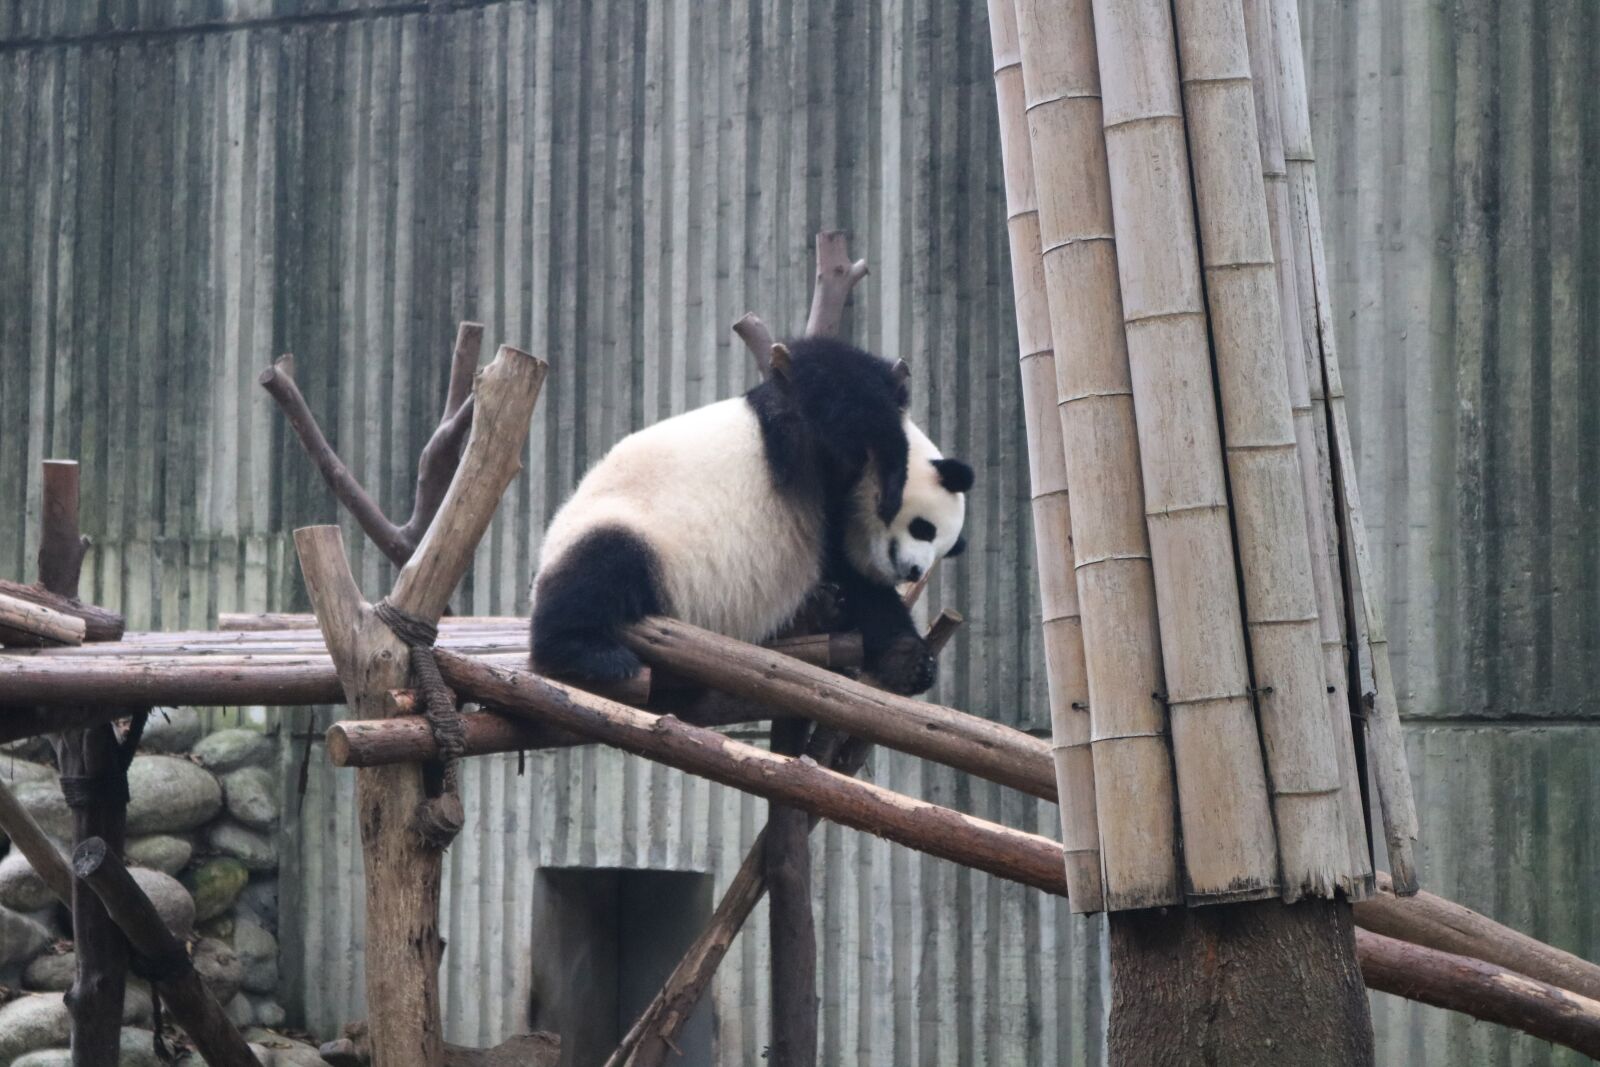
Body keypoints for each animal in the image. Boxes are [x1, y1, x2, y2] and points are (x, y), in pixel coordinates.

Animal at [529, 337, 972, 696]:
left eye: (941, 549)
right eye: (924, 528)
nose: (914, 571)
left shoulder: (835, 533)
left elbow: (864, 591)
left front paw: (911, 662)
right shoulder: (806, 436)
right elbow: (840, 384)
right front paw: (893, 477)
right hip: (627, 524)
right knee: (600, 569)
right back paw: (593, 654)